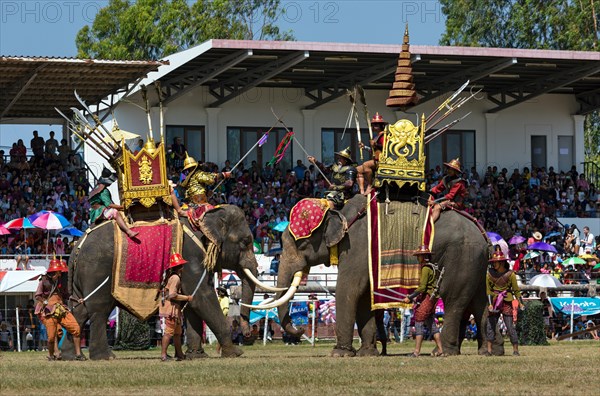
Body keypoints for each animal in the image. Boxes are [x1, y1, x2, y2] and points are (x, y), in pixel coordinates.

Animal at [62, 206, 262, 360]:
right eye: (246, 242)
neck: (203, 216)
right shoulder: (191, 255)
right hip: (97, 269)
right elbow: (202, 298)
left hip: (83, 275)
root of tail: (78, 244)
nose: (247, 334)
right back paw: (105, 357)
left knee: (79, 310)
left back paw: (71, 357)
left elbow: (192, 302)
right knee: (99, 311)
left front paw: (196, 356)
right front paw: (236, 353)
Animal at [274, 193, 490, 358]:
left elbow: (348, 290)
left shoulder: (357, 249)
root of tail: (483, 233)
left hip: (462, 257)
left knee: (454, 301)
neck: (342, 213)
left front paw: (340, 354)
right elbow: (363, 297)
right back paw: (483, 351)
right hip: (477, 264)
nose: (301, 330)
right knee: (479, 303)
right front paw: (367, 353)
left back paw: (444, 352)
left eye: (301, 244)